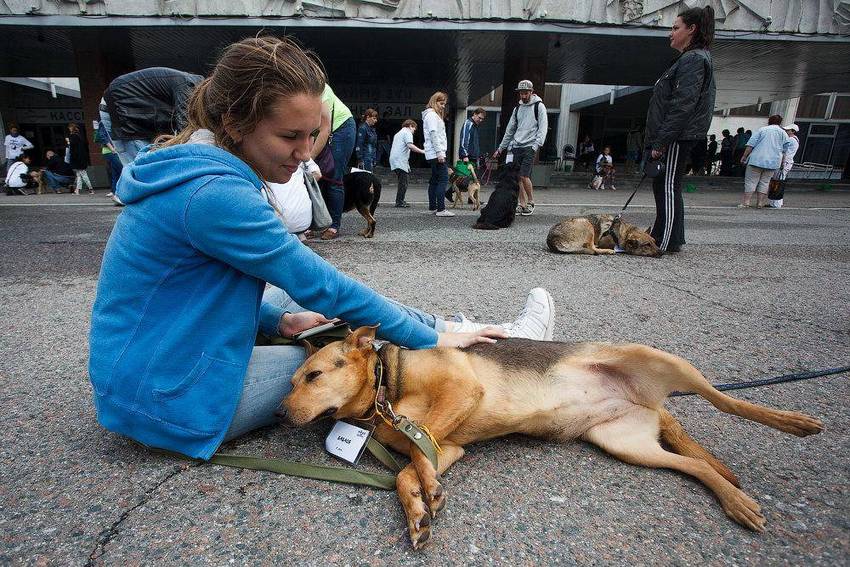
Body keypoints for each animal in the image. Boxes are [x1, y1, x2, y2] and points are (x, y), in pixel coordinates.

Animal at [280, 328, 820, 552]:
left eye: (312, 376)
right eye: (291, 381)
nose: (281, 412)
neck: (385, 390)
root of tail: (642, 397)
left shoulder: (461, 388)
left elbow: (417, 448)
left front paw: (427, 491)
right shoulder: (449, 448)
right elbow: (408, 470)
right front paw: (418, 510)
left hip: (663, 361)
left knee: (724, 400)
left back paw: (792, 421)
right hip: (626, 444)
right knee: (698, 465)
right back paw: (734, 499)